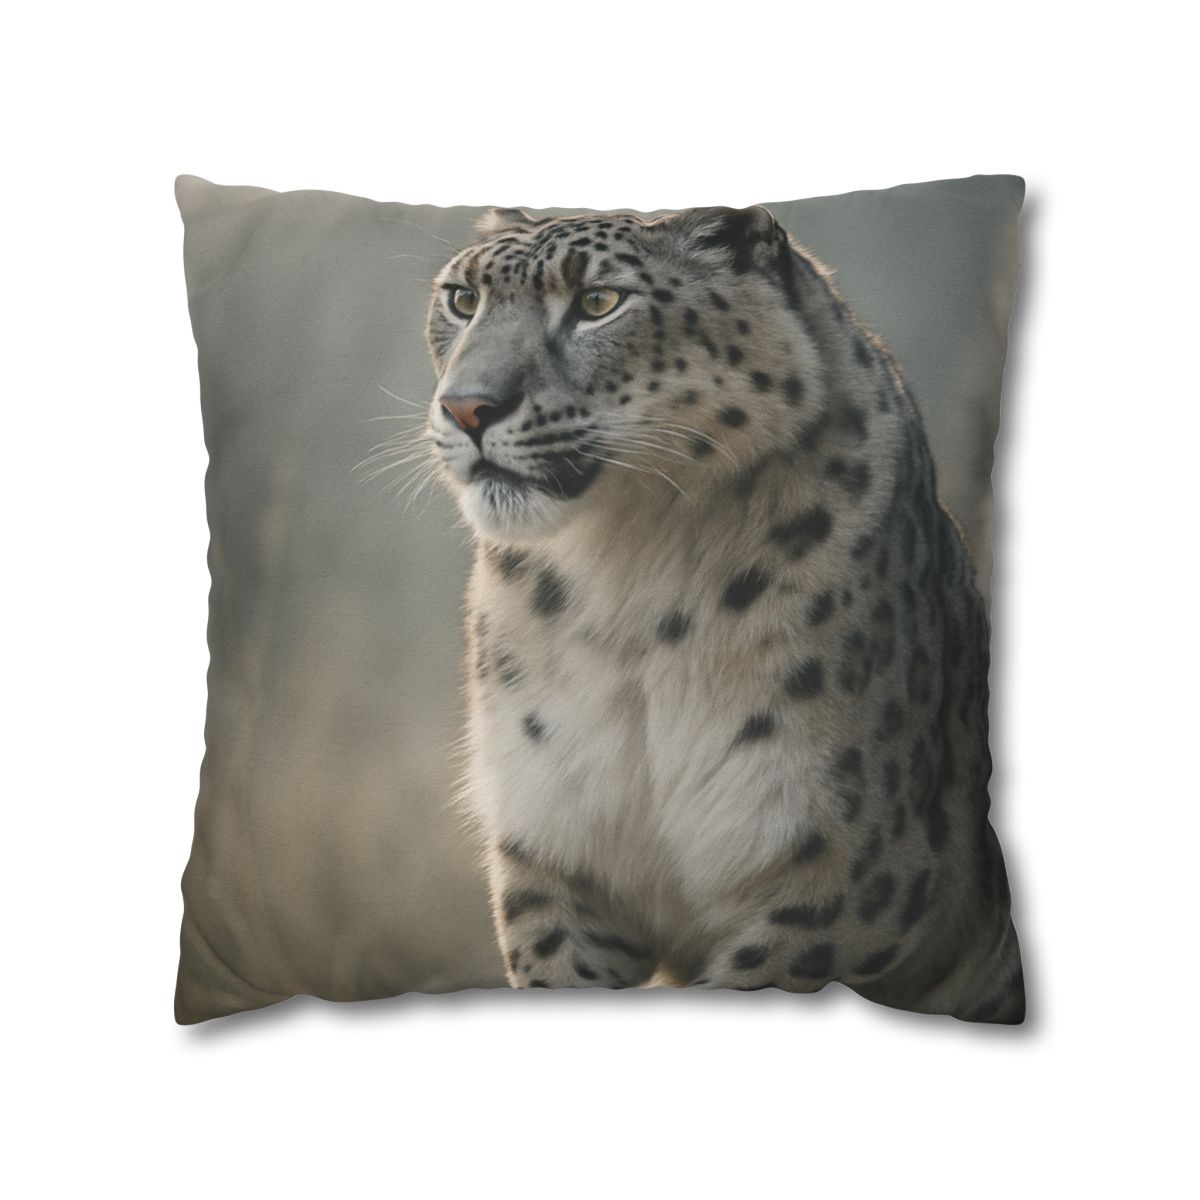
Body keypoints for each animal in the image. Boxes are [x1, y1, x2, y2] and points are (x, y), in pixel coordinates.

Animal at [421, 203, 1024, 1023]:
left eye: (598, 302)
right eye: (462, 299)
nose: (467, 406)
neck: (625, 575)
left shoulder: (842, 883)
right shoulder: (553, 849)